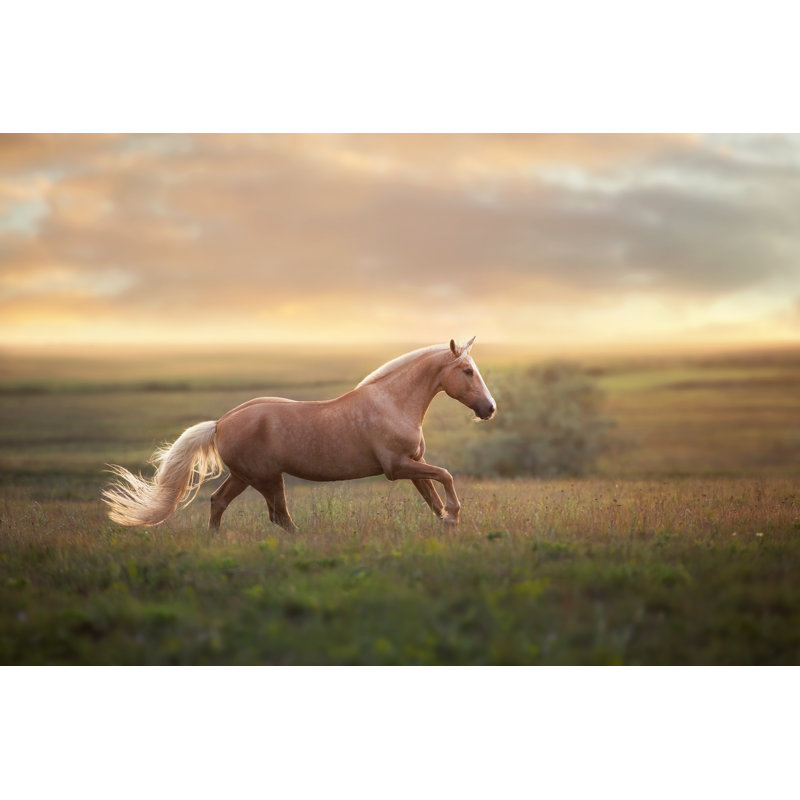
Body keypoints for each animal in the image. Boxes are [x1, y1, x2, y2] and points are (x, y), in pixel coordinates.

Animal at [102, 337, 496, 532]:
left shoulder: (414, 462)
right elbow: (446, 477)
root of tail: (221, 422)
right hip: (266, 478)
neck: (392, 402)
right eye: (466, 371)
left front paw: (448, 524)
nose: (489, 409)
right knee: (279, 517)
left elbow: (432, 496)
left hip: (244, 477)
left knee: (219, 502)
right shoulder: (397, 467)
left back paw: (215, 541)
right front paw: (455, 516)